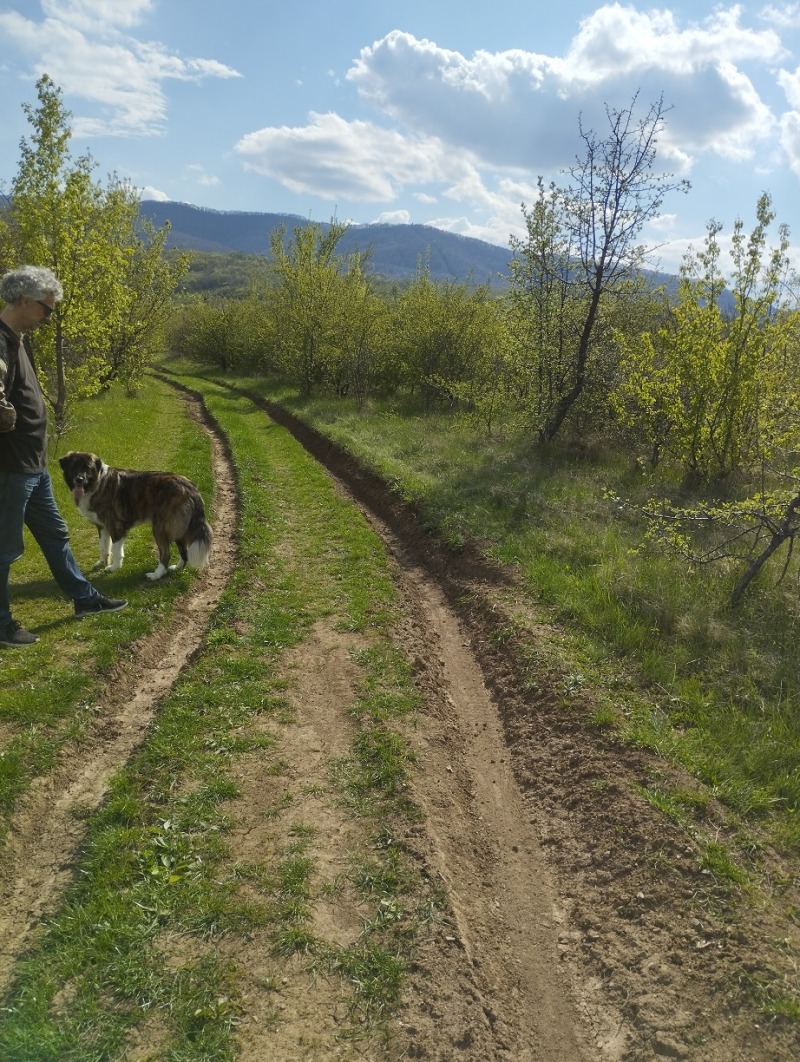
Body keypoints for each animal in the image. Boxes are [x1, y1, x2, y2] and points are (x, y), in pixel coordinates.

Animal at [59, 448, 213, 581]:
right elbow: (103, 547)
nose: (79, 479)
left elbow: (116, 550)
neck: (97, 484)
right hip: (177, 527)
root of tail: (190, 487)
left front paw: (114, 567)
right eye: (74, 467)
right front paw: (102, 562)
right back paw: (177, 568)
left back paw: (156, 575)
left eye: (87, 468)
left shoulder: (116, 527)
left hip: (160, 527)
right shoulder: (102, 527)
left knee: (166, 554)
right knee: (184, 551)